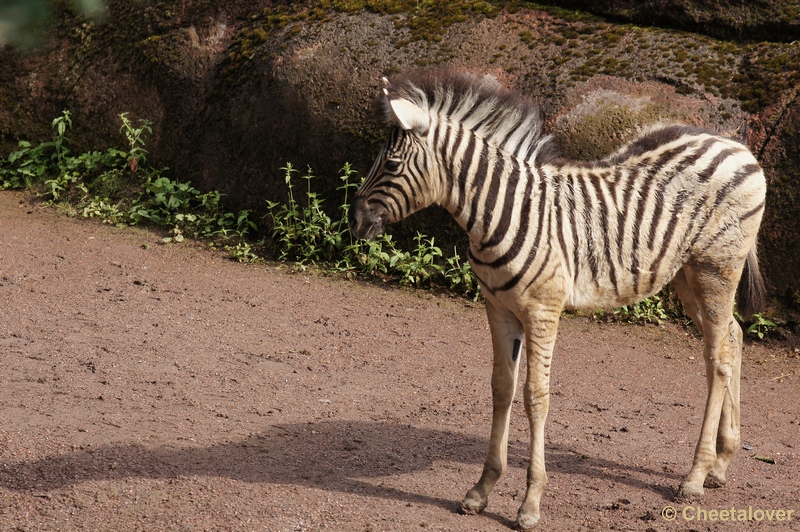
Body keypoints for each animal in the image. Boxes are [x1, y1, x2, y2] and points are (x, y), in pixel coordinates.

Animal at [350, 69, 768, 528]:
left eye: (391, 164)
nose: (353, 221)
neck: (502, 210)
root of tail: (735, 146)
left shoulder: (542, 311)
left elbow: (536, 396)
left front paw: (530, 503)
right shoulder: (498, 309)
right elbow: (501, 388)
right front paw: (481, 490)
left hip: (717, 269)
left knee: (718, 359)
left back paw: (695, 475)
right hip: (685, 274)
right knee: (732, 337)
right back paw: (722, 463)